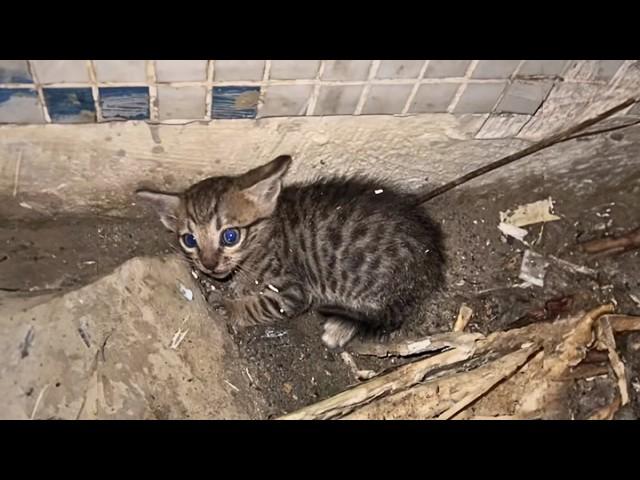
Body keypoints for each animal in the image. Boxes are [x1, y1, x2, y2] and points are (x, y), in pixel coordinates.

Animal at [136, 157, 444, 348]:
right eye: (189, 240)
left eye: (230, 236)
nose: (209, 265)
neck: (263, 237)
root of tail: (430, 262)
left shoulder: (293, 292)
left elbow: (260, 304)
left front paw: (229, 306)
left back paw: (339, 329)